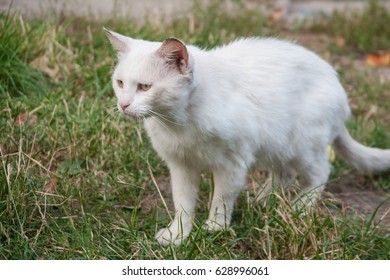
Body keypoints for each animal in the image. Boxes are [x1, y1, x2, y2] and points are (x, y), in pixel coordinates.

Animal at [104, 28, 390, 246]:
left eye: (145, 87)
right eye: (120, 83)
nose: (123, 104)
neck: (178, 123)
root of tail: (337, 84)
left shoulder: (232, 164)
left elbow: (221, 198)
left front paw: (214, 228)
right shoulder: (181, 165)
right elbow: (183, 203)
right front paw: (178, 236)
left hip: (303, 145)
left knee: (320, 173)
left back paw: (298, 206)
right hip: (278, 145)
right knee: (285, 174)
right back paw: (265, 201)